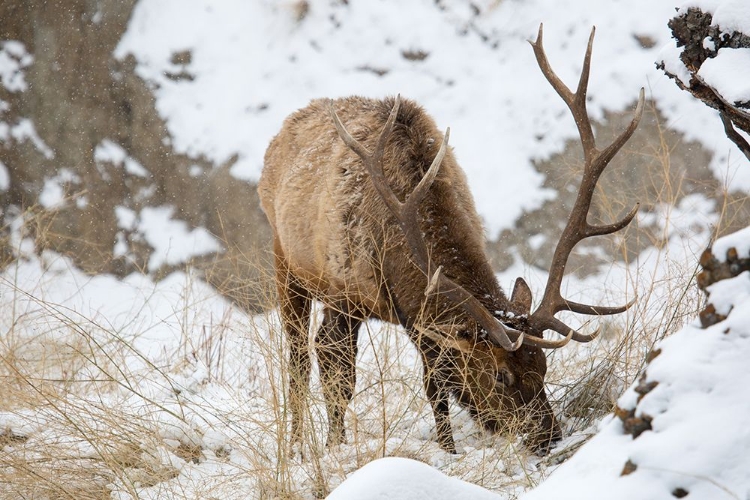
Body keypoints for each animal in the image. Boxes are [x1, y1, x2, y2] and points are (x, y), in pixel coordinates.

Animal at [260, 27, 648, 456]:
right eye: (500, 375)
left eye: (543, 366)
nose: (548, 438)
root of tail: (284, 130)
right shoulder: (346, 294)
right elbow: (342, 377)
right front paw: (339, 449)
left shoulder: (422, 321)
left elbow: (436, 386)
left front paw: (447, 448)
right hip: (286, 261)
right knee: (301, 358)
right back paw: (298, 444)